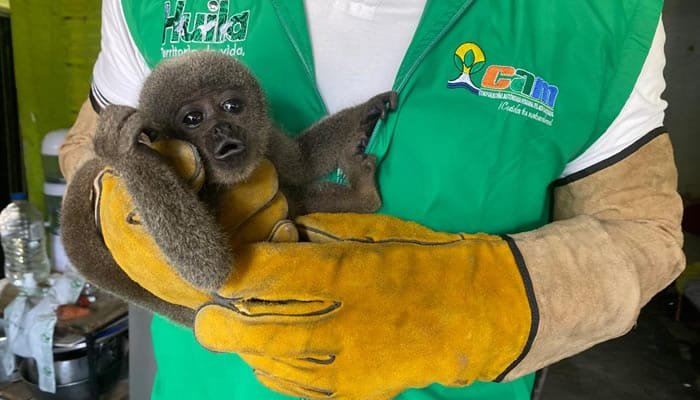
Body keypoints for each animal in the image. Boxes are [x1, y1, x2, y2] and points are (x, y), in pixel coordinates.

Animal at [61, 51, 397, 325]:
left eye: (232, 106)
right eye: (193, 118)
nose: (222, 128)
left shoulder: (265, 135)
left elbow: (302, 162)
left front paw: (367, 110)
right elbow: (207, 269)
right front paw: (122, 151)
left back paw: (363, 196)